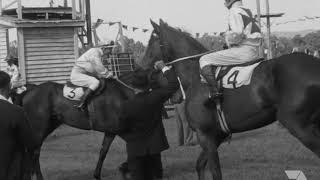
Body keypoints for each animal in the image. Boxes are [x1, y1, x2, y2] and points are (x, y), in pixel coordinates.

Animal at [144, 19, 320, 180]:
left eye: (150, 42)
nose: (142, 68)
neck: (196, 77)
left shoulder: (205, 135)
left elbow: (216, 172)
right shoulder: (217, 135)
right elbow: (199, 165)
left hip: (296, 124)